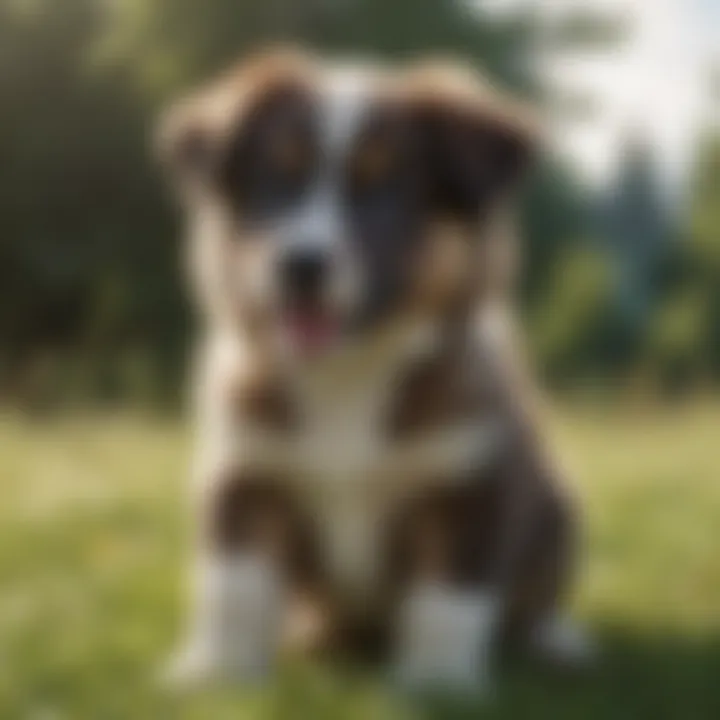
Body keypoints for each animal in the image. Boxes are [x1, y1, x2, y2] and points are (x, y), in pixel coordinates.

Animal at [158, 47, 592, 688]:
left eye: (383, 185)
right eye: (277, 178)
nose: (300, 266)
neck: (347, 371)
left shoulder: (466, 482)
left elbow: (447, 600)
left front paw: (437, 684)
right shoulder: (246, 473)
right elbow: (233, 587)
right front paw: (219, 675)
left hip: (558, 516)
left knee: (536, 601)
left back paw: (557, 642)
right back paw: (312, 639)